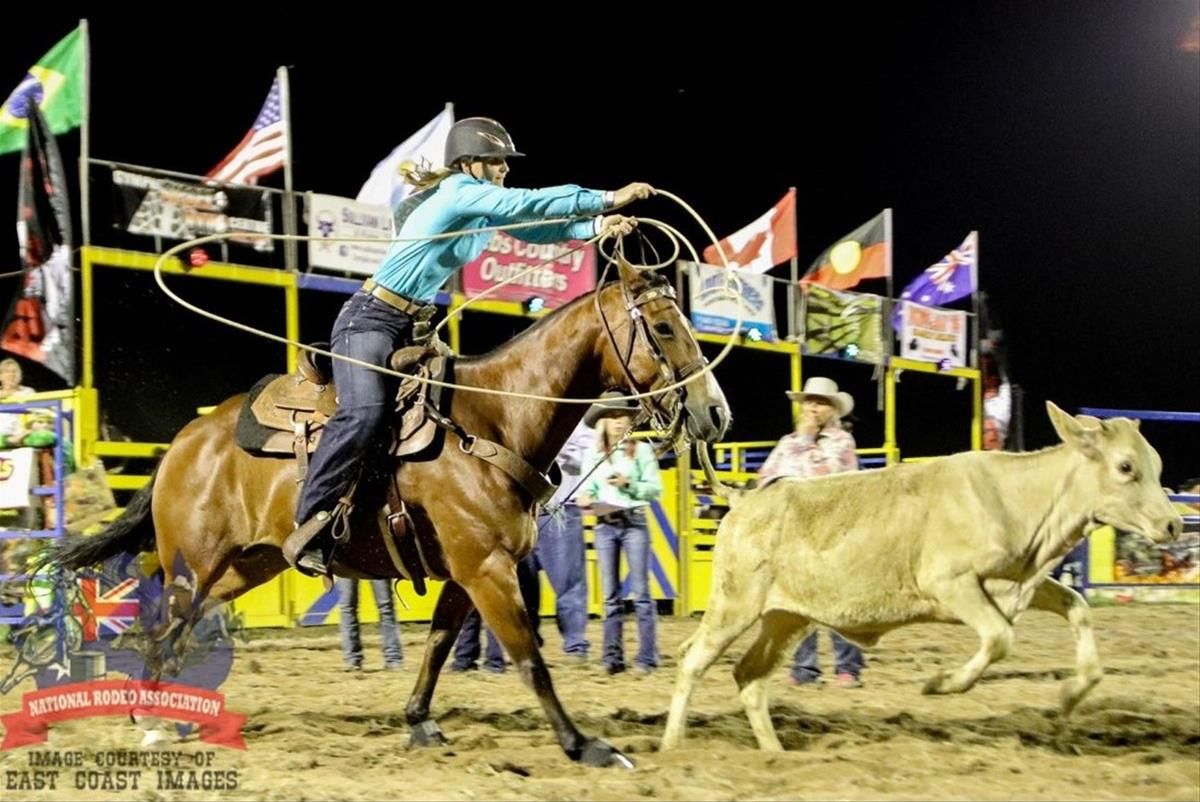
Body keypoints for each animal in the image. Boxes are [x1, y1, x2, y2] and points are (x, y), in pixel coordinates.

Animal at [46, 260, 729, 768]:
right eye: (664, 327)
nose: (715, 413)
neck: (490, 419)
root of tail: (182, 444)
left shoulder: (466, 574)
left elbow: (437, 648)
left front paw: (419, 723)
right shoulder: (487, 570)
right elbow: (529, 659)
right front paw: (584, 745)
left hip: (249, 565)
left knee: (178, 631)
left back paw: (161, 711)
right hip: (194, 563)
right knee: (163, 627)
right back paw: (151, 719)